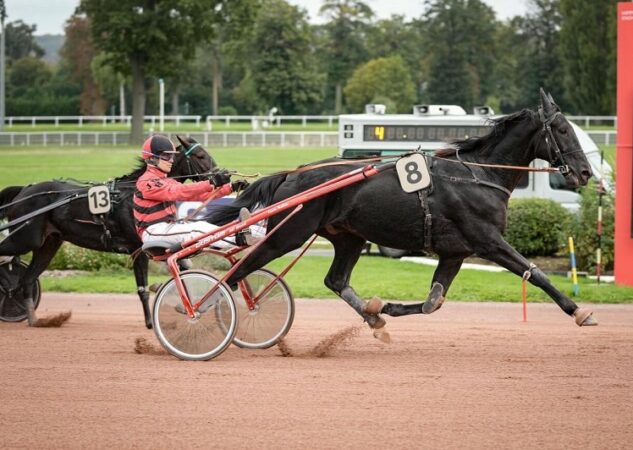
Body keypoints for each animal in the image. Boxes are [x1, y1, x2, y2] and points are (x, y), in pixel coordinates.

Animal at [0, 134, 215, 326]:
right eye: (201, 156)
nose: (219, 174)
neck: (132, 194)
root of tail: (23, 191)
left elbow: (184, 266)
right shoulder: (138, 249)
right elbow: (143, 288)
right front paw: (149, 322)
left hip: (49, 243)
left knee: (27, 280)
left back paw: (34, 319)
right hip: (25, 238)